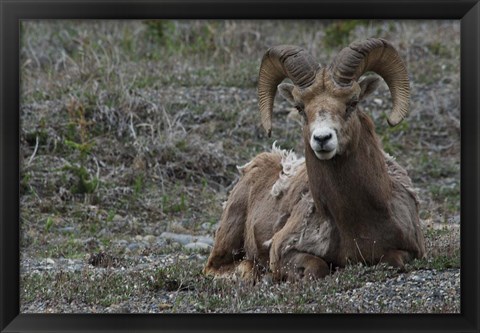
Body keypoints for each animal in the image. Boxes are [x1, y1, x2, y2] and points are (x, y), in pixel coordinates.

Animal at [202, 39, 424, 282]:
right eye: (300, 108)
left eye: (352, 103)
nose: (322, 138)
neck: (357, 221)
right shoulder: (283, 251)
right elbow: (317, 267)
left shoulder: (412, 251)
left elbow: (393, 261)